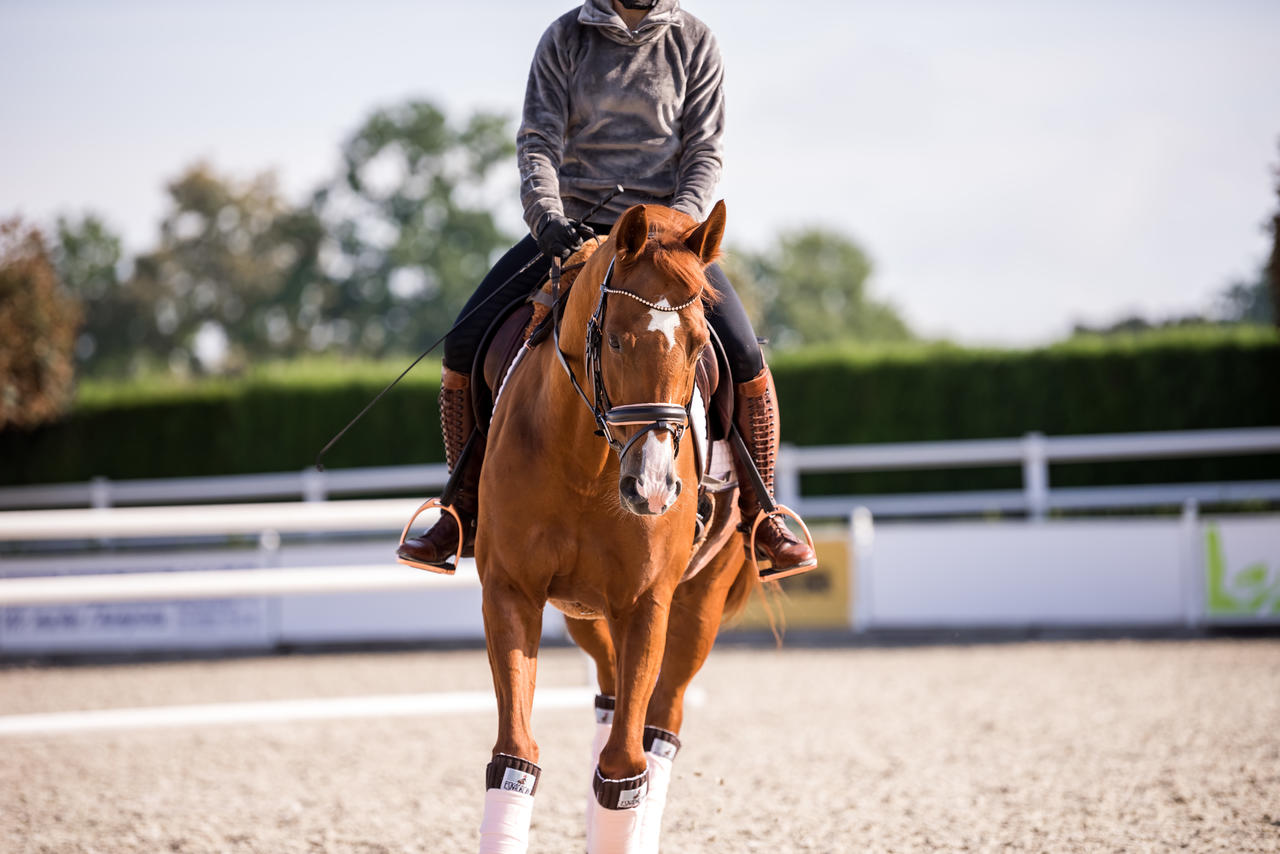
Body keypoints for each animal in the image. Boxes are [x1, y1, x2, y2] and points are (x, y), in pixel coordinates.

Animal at [481, 202, 757, 854]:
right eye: (613, 339)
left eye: (700, 345)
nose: (652, 488)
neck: (588, 464)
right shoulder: (510, 591)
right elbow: (515, 757)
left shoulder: (647, 602)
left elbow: (625, 768)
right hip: (584, 613)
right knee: (608, 700)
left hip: (699, 604)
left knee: (661, 725)